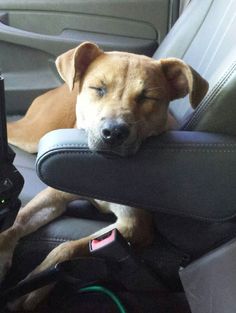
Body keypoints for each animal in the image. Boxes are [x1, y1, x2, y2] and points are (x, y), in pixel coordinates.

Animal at [0, 42, 207, 310]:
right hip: (33, 134)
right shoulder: (55, 193)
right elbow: (19, 220)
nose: (114, 132)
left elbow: (67, 248)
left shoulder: (134, 226)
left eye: (147, 97)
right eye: (98, 88)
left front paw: (33, 288)